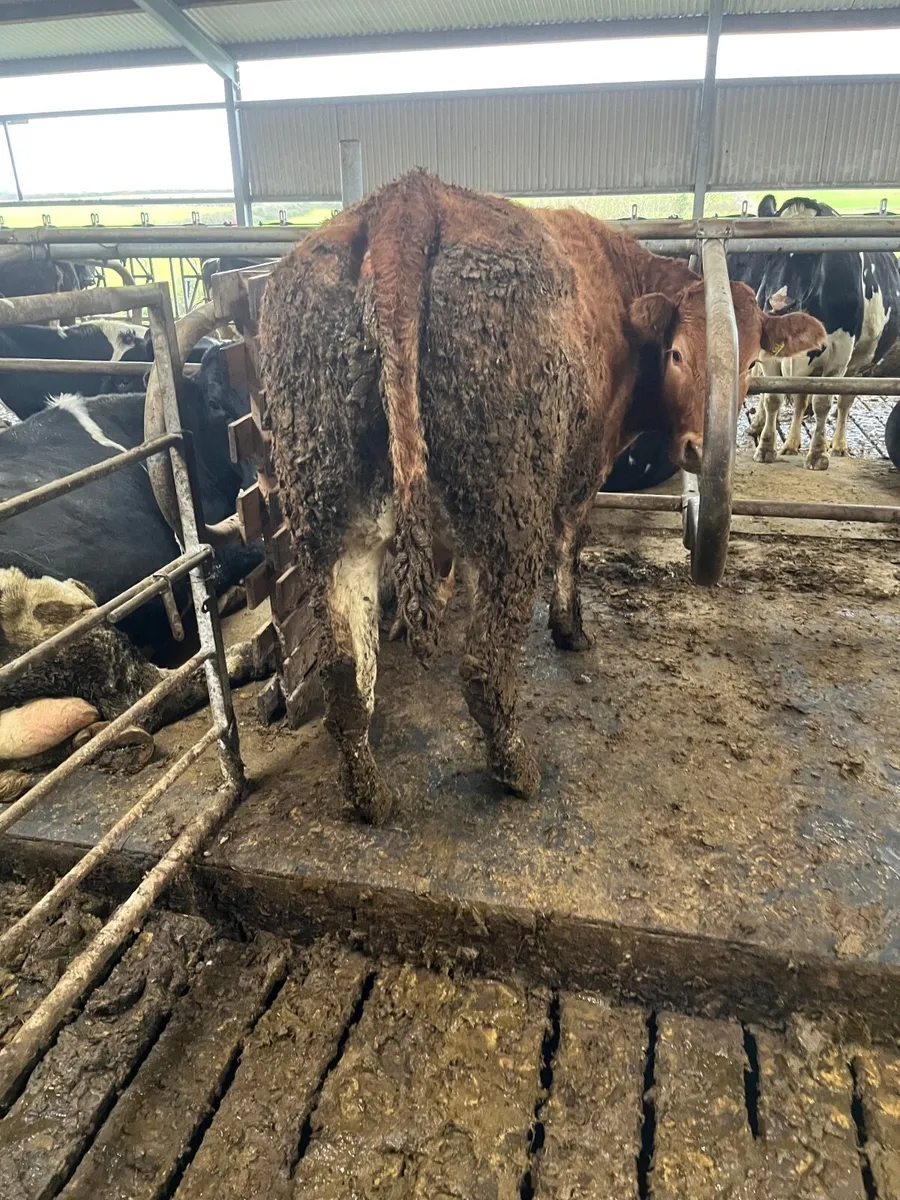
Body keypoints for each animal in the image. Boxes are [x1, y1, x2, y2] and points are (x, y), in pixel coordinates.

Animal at [257, 170, 825, 823]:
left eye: (753, 362)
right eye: (678, 353)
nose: (699, 449)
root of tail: (406, 201)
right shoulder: (583, 467)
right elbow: (571, 545)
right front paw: (569, 628)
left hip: (329, 516)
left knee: (346, 677)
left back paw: (370, 797)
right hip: (510, 514)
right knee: (483, 666)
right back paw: (516, 768)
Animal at [749, 196, 900, 469]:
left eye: (815, 253)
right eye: (768, 251)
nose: (779, 305)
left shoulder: (839, 354)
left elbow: (822, 403)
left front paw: (818, 454)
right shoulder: (769, 352)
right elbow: (773, 397)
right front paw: (766, 448)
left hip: (855, 366)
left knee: (844, 402)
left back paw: (838, 445)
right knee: (800, 399)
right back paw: (791, 444)